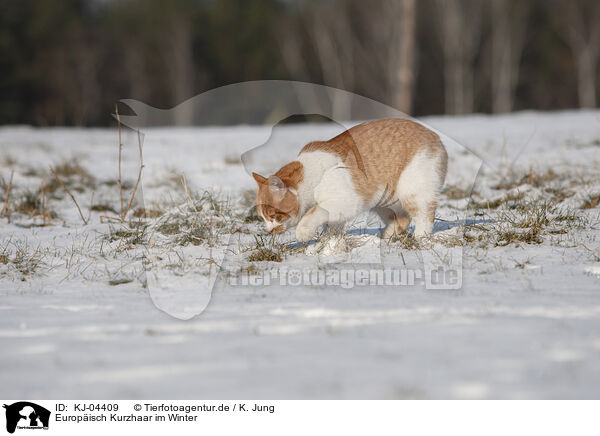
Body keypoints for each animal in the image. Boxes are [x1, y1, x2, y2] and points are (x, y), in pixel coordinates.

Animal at [252, 118, 446, 242]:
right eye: (262, 218)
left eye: (272, 216)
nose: (269, 230)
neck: (312, 175)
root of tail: (436, 136)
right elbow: (332, 227)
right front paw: (330, 243)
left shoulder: (345, 201)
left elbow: (313, 213)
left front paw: (303, 233)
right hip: (384, 200)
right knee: (402, 219)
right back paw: (387, 235)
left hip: (413, 192)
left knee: (424, 216)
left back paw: (420, 237)